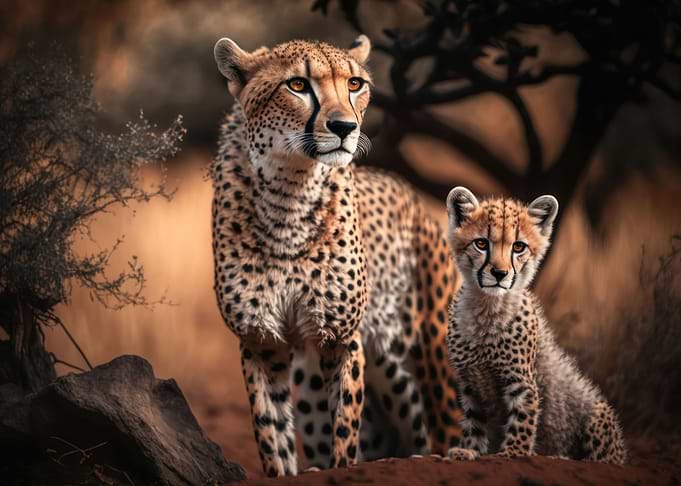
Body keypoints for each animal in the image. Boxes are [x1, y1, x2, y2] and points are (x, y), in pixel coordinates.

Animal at [210, 35, 463, 477]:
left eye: (354, 84)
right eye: (297, 85)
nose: (345, 127)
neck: (288, 193)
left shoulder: (342, 339)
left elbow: (345, 431)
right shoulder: (260, 341)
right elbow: (270, 435)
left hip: (425, 357)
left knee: (444, 428)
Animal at [443, 186, 626, 465]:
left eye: (518, 247)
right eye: (481, 243)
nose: (499, 274)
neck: (486, 308)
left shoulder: (522, 381)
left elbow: (522, 419)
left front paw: (513, 453)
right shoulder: (471, 383)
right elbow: (474, 422)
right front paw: (469, 450)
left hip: (597, 411)